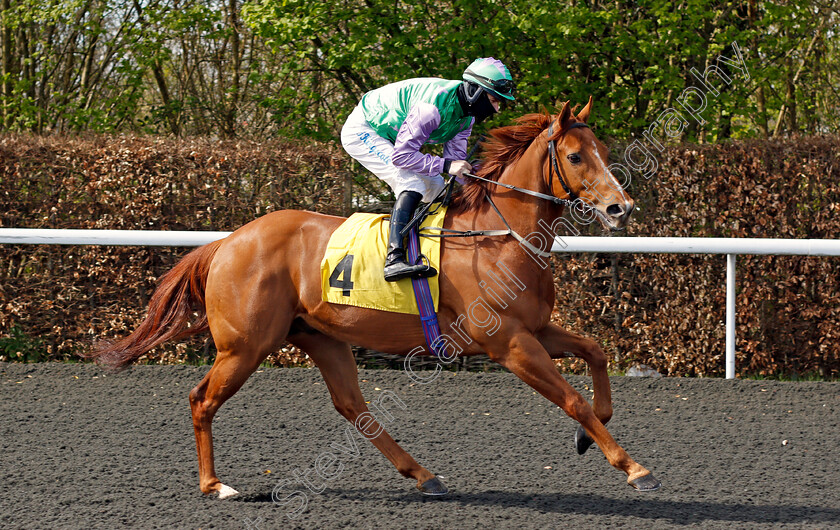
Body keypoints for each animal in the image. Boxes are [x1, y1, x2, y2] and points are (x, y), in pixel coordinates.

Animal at [93, 97, 664, 498]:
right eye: (575, 156)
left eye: (605, 153)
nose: (621, 207)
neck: (497, 235)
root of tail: (228, 241)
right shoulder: (508, 342)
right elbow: (572, 399)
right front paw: (634, 467)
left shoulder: (536, 328)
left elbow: (596, 353)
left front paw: (589, 437)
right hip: (245, 346)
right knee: (201, 400)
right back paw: (215, 485)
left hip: (322, 337)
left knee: (355, 409)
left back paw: (424, 475)